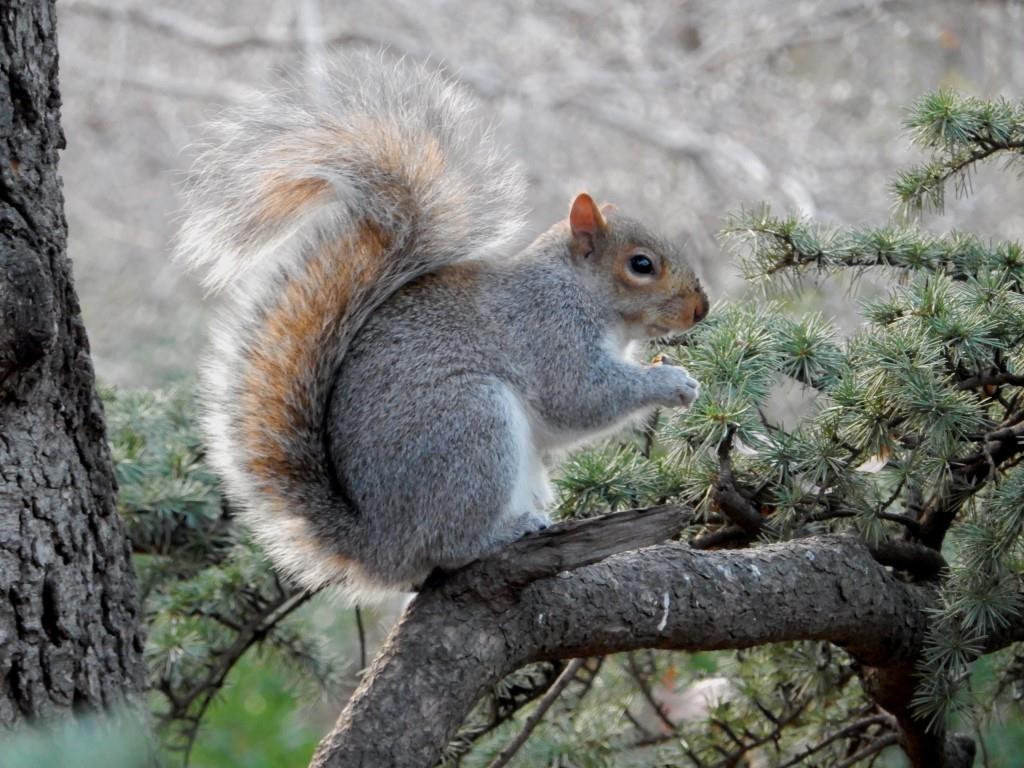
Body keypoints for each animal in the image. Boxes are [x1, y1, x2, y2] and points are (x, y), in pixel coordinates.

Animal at [178, 57, 704, 606]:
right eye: (641, 265)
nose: (701, 309)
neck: (582, 293)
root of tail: (381, 543)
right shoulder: (547, 330)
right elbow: (580, 396)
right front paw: (671, 383)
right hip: (471, 426)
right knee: (450, 547)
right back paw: (507, 532)